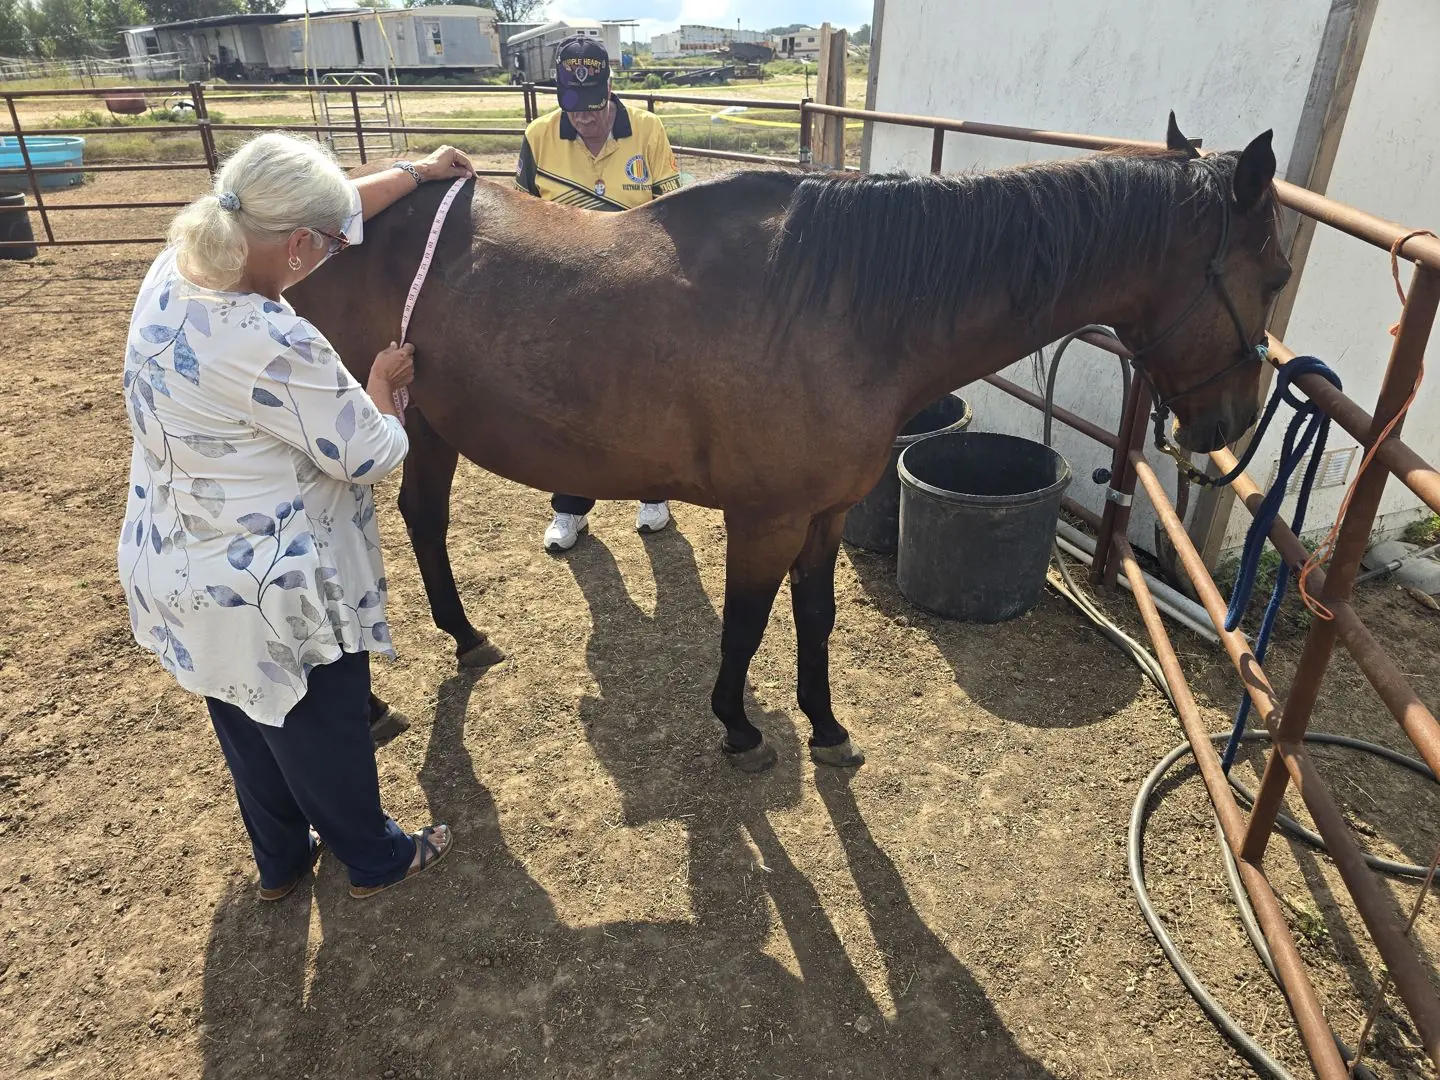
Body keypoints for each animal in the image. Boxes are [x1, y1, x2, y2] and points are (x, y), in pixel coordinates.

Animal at [288, 114, 1291, 774]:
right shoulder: (763, 518)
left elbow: (815, 617)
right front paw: (739, 728)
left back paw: (462, 637)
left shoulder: (828, 513)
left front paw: (826, 724)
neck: (837, 304)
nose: (1233, 426)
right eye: (1277, 273)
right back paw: (366, 704)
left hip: (426, 424)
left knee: (422, 519)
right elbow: (744, 625)